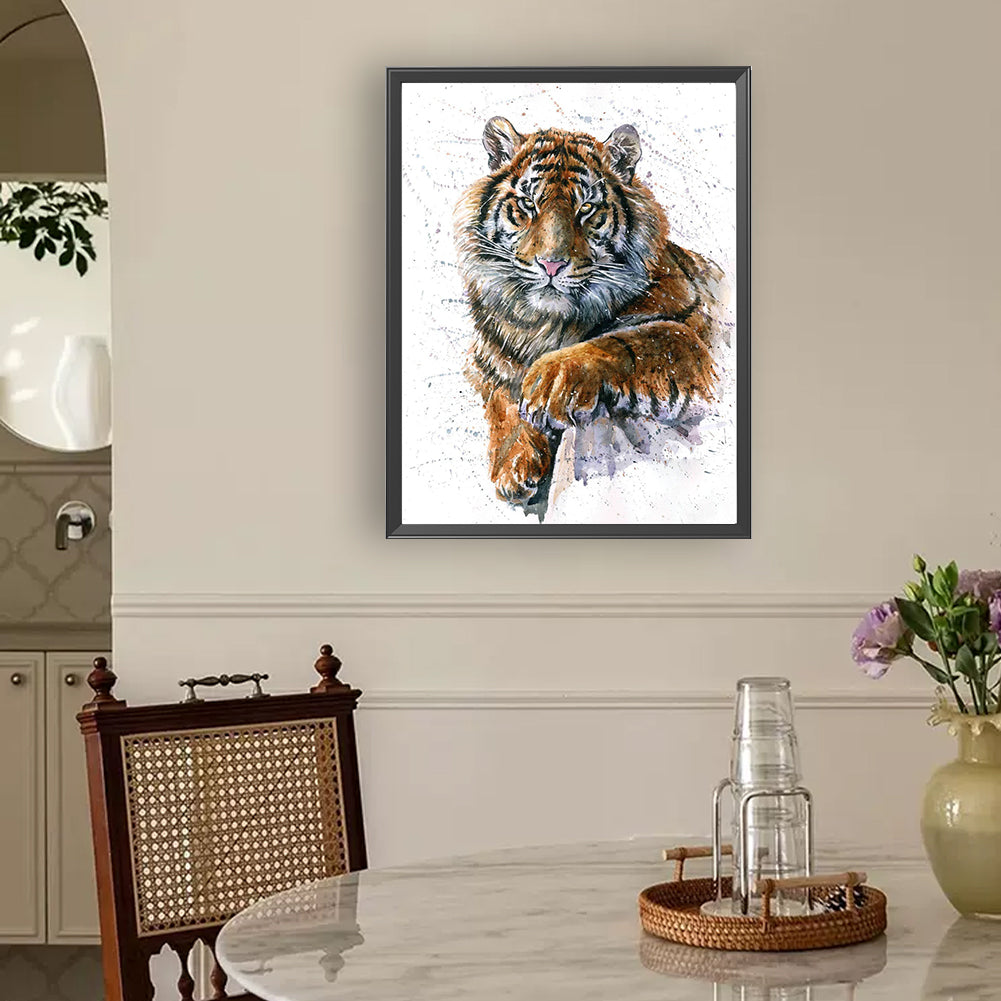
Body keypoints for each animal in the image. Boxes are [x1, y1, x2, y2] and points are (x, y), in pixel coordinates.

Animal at [453, 116, 728, 511]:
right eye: (528, 204)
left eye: (586, 209)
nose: (551, 265)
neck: (546, 324)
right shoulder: (486, 361)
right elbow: (501, 401)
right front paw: (512, 468)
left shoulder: (691, 333)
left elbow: (626, 341)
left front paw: (548, 383)